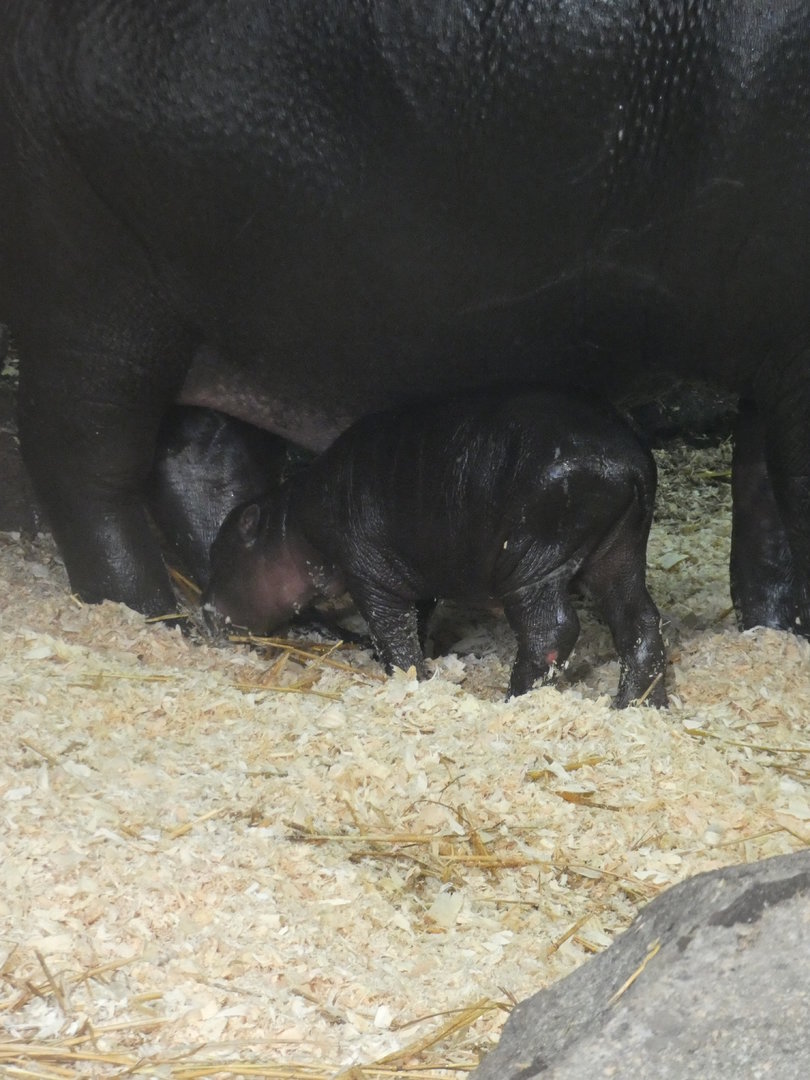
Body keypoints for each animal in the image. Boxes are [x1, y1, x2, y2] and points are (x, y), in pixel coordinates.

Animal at [0, 2, 808, 638]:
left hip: (216, 321)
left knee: (204, 468)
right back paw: (146, 616)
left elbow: (763, 502)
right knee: (87, 466)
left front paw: (773, 630)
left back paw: (283, 624)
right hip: (92, 292)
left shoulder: (775, 354)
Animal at [203, 388, 667, 707]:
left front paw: (410, 678)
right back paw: (635, 705)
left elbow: (391, 629)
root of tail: (626, 462)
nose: (202, 613)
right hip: (619, 554)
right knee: (641, 622)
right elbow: (416, 620)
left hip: (536, 560)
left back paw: (514, 700)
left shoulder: (368, 572)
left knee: (550, 629)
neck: (290, 525)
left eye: (221, 553)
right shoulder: (412, 573)